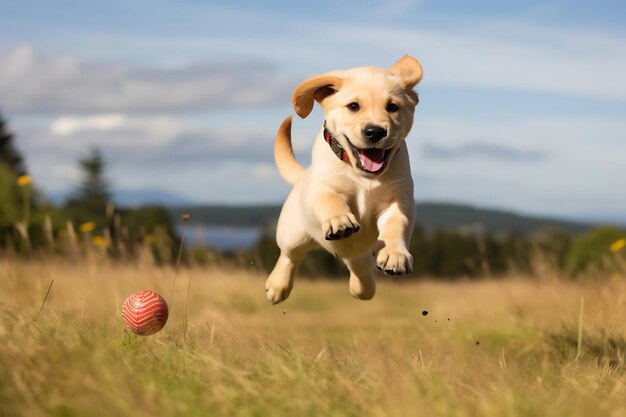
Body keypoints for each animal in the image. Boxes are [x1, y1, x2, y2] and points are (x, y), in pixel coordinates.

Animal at [264, 54, 420, 302]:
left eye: (392, 107)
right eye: (353, 106)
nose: (375, 132)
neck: (363, 176)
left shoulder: (398, 200)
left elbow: (397, 224)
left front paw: (395, 255)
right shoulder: (322, 185)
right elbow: (330, 200)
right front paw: (339, 220)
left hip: (359, 256)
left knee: (360, 268)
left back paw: (362, 288)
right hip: (292, 233)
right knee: (289, 256)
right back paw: (277, 286)